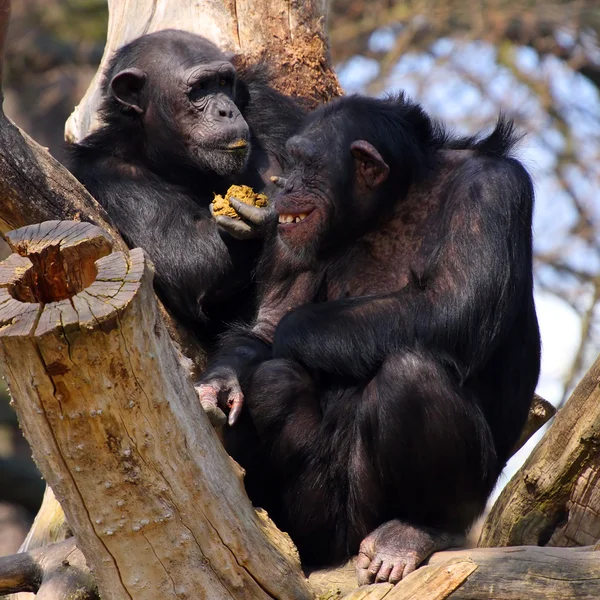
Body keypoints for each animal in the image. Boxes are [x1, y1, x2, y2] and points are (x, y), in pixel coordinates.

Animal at [66, 29, 304, 346]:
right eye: (199, 88)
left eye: (223, 83)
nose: (226, 111)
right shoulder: (105, 174)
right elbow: (188, 254)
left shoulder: (269, 106)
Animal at [196, 94, 540, 584]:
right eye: (290, 161)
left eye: (306, 163)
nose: (283, 187)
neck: (393, 203)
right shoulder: (288, 232)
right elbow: (267, 325)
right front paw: (220, 383)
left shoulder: (494, 189)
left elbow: (453, 304)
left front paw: (292, 331)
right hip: (330, 517)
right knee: (276, 382)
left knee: (410, 375)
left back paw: (412, 532)